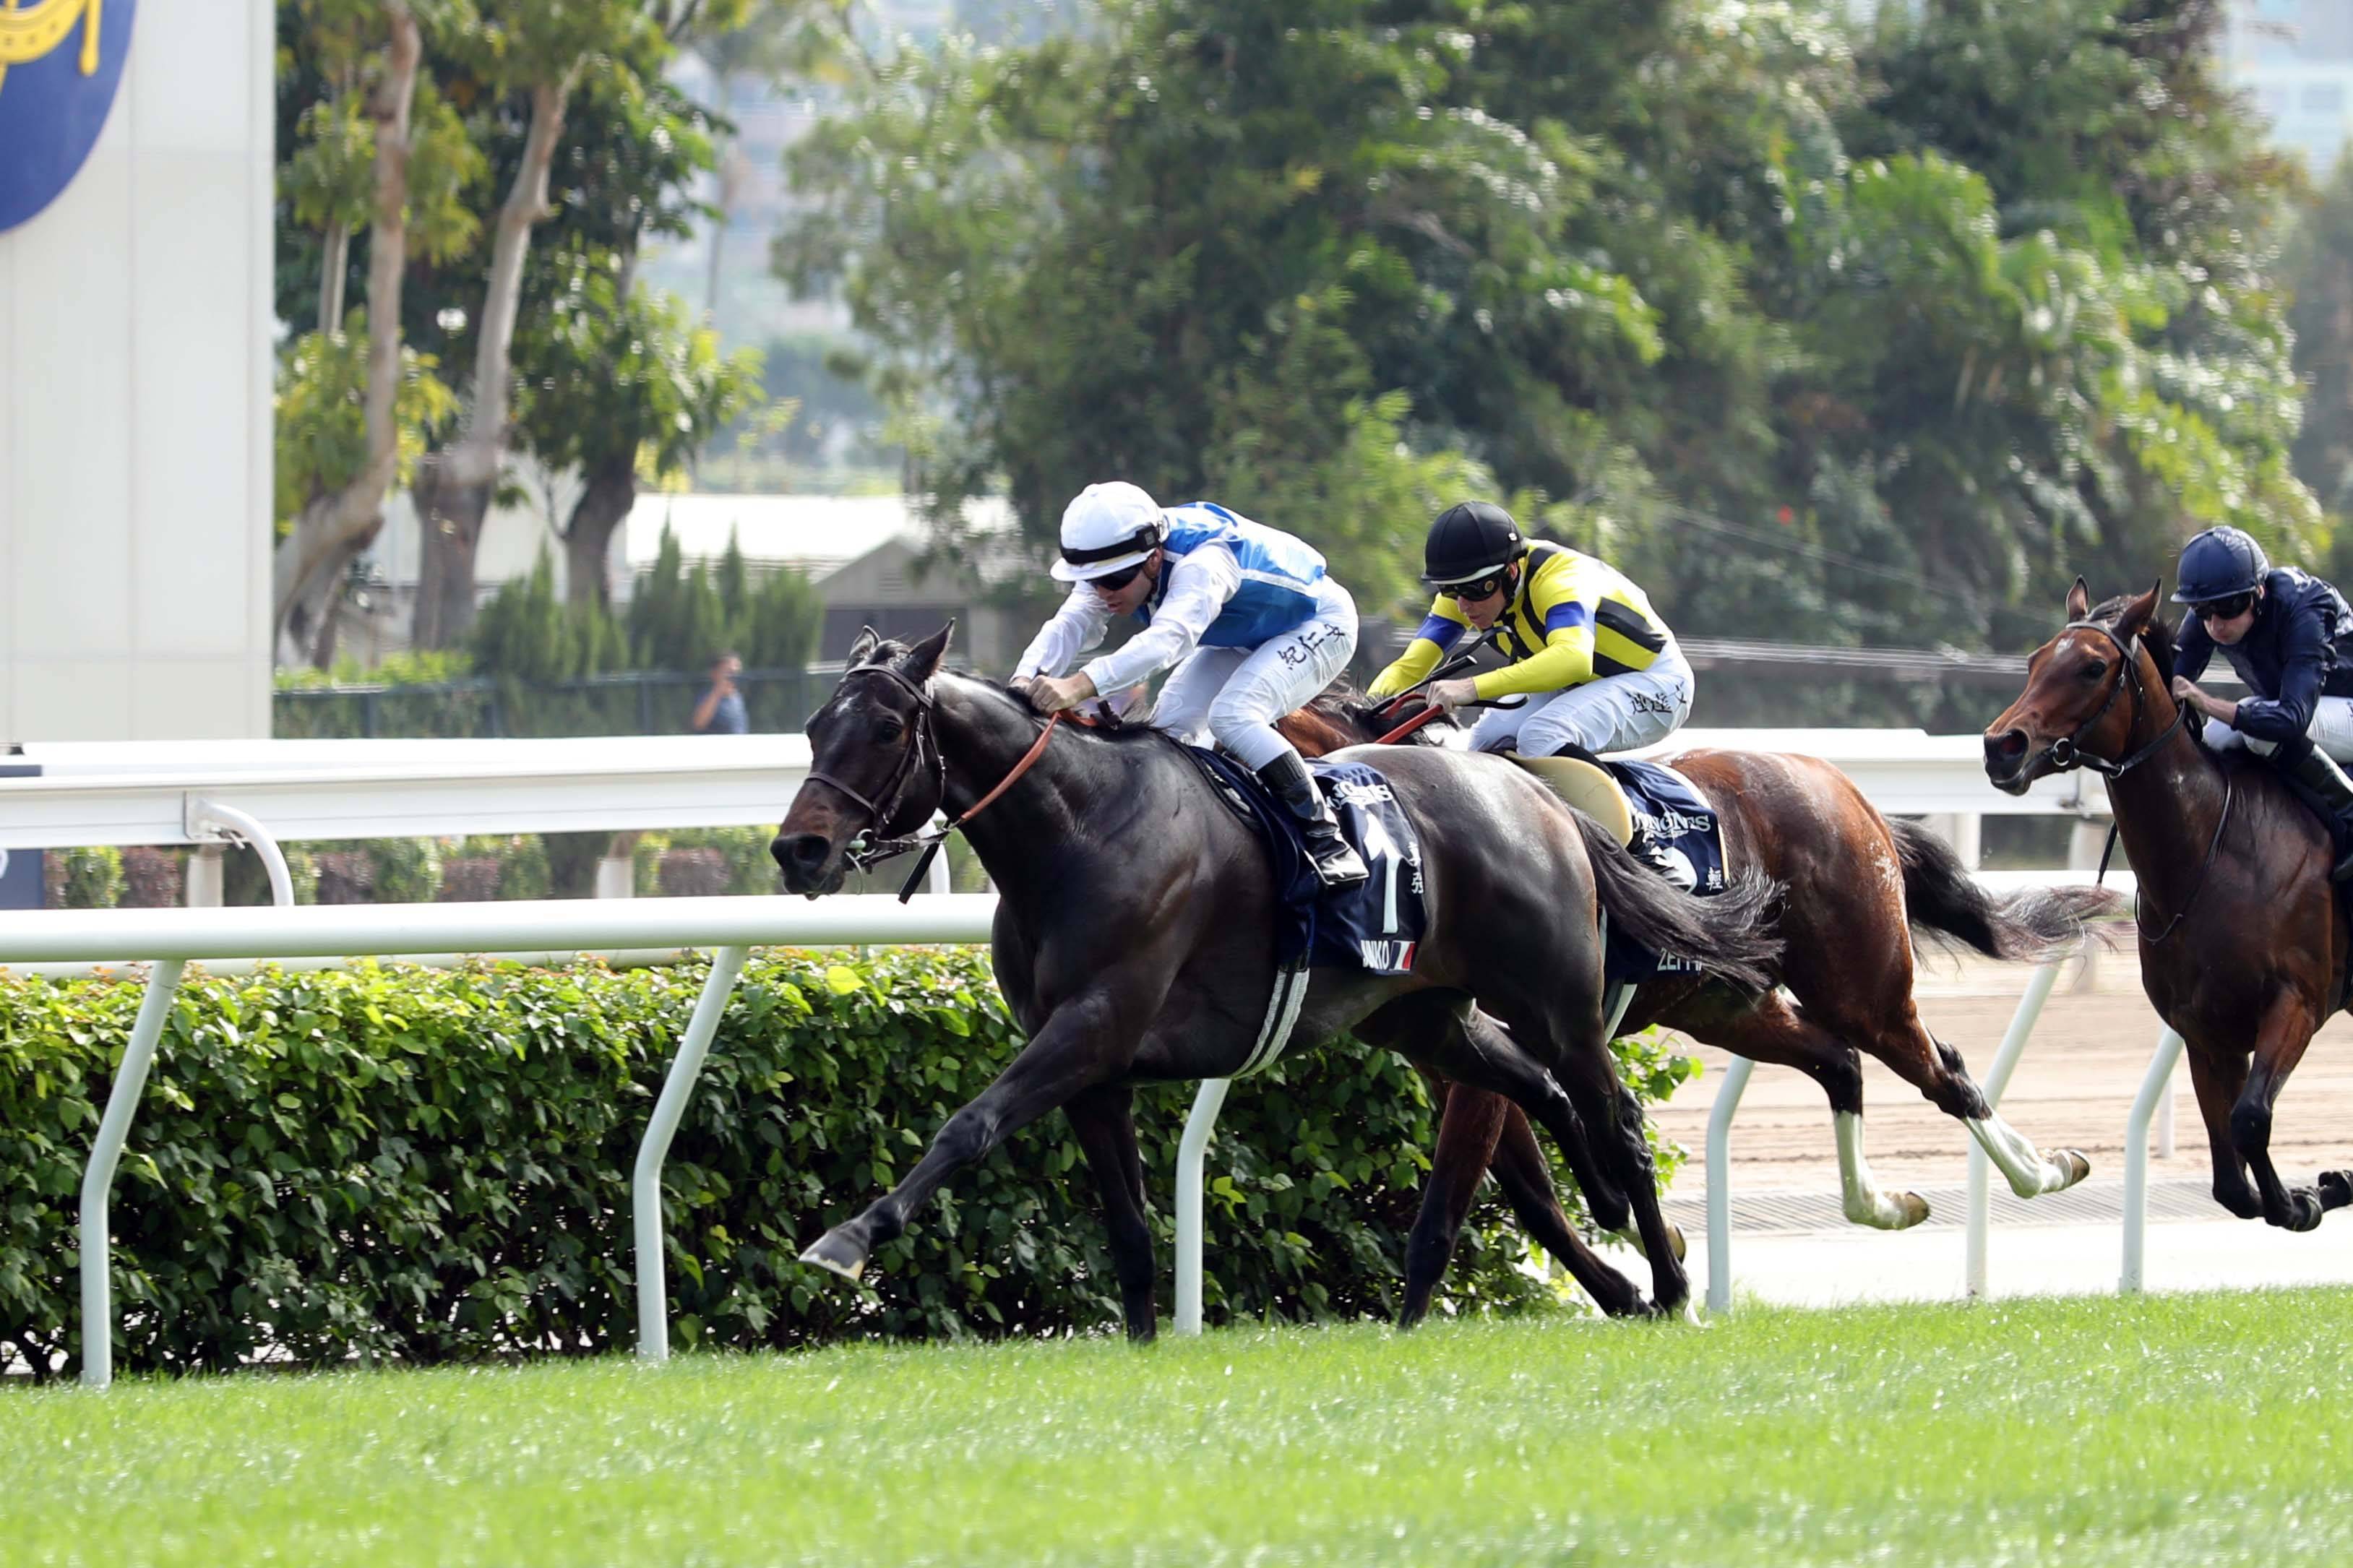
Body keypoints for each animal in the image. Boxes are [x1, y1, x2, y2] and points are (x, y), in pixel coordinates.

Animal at [776, 621, 1778, 1327]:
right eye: (816, 726)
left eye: (885, 727)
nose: (798, 850)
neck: (1080, 828)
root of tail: (1534, 792)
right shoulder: (1091, 1069)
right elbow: (1128, 1228)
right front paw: (1142, 1340)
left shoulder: (1094, 1025)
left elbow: (968, 1125)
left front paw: (846, 1238)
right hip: (1423, 1015)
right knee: (1542, 1091)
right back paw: (1613, 1219)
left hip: (1557, 1001)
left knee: (1620, 1117)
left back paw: (1669, 1281)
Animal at [1280, 692, 2127, 1309]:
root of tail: (1843, 787)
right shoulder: (1456, 1057)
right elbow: (1531, 1194)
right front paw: (1635, 1276)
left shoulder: (1506, 1045)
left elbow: (1460, 1202)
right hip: (1727, 1004)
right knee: (1839, 1063)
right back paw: (1887, 1203)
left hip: (1859, 982)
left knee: (1941, 1071)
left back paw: (2044, 1171)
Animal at [1986, 579, 2353, 1224]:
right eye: (2033, 661)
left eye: (2092, 667)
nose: (2001, 746)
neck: (2215, 849)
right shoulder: (2202, 1028)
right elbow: (2231, 1181)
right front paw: (2316, 1189)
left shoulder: (2299, 1002)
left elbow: (2250, 1120)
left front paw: (2306, 1198)